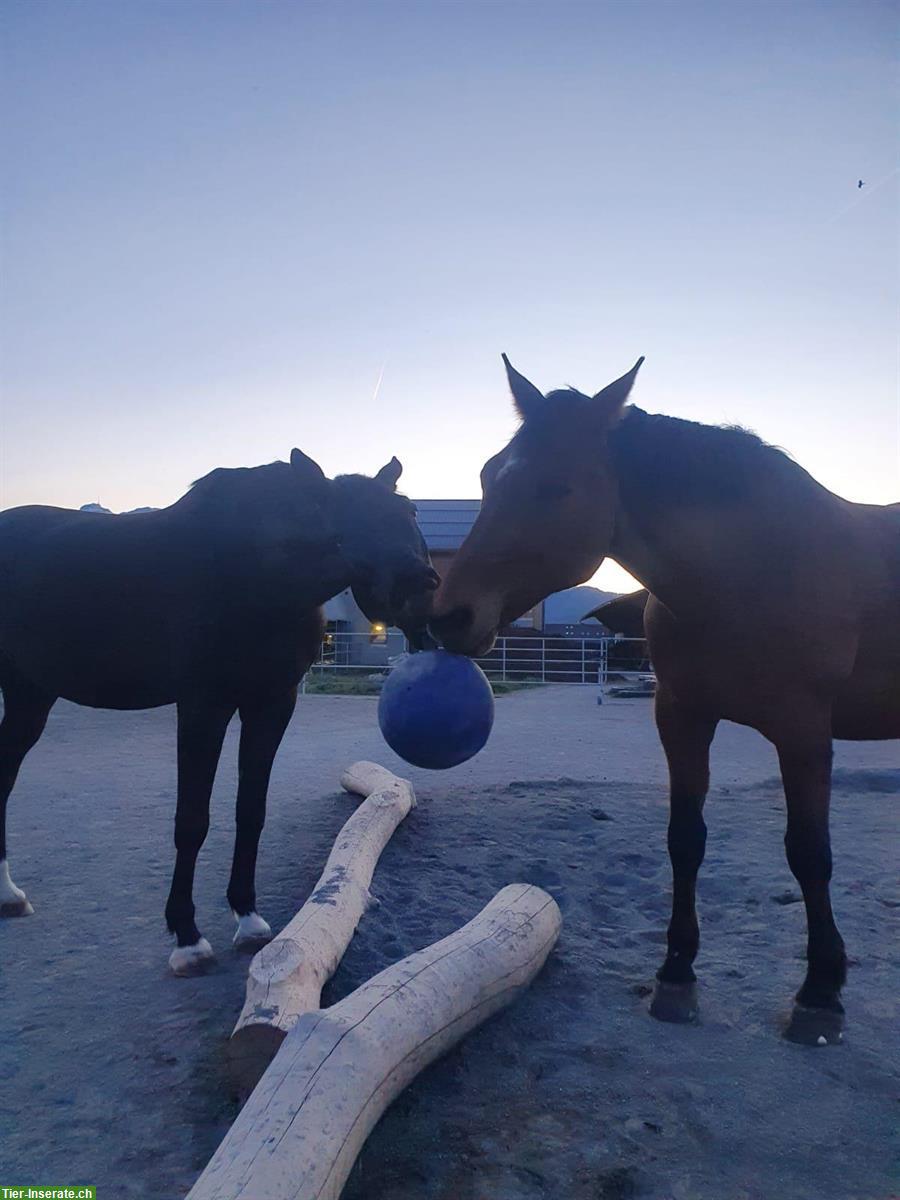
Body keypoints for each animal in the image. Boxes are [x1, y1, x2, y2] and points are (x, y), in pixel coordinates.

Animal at [0, 451, 436, 974]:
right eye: (345, 521)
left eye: (409, 511)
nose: (421, 588)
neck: (256, 575)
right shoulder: (202, 706)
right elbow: (192, 820)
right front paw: (187, 937)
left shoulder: (272, 704)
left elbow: (251, 810)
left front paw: (247, 918)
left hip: (29, 695)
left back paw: (7, 895)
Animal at [432, 352, 900, 1041]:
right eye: (491, 476)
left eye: (555, 487)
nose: (448, 616)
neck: (750, 569)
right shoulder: (681, 716)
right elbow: (685, 839)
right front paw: (676, 974)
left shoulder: (805, 730)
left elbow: (809, 853)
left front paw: (820, 992)